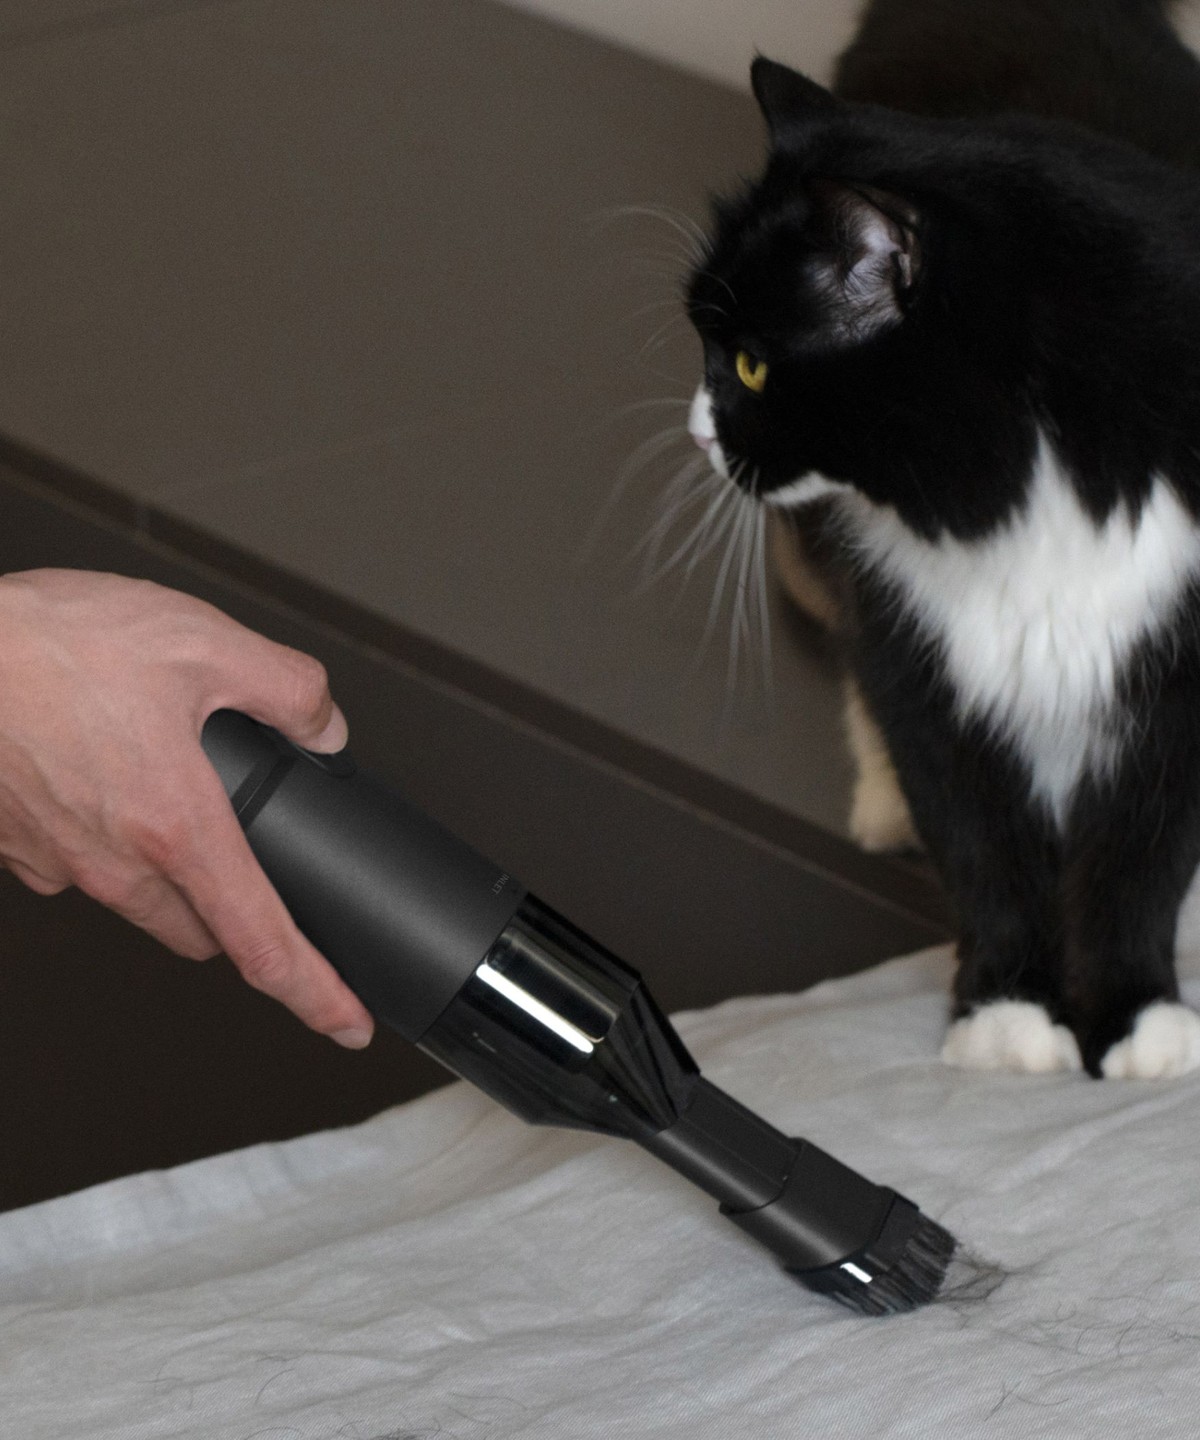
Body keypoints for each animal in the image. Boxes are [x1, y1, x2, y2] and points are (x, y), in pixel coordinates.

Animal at [683, 0, 1200, 1079]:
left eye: (750, 366)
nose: (697, 431)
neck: (1034, 486)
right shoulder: (917, 652)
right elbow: (978, 839)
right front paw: (1007, 1016)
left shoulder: (1179, 676)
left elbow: (1141, 861)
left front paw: (1140, 1020)